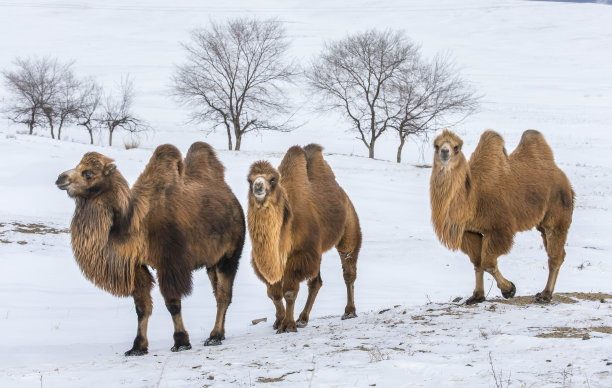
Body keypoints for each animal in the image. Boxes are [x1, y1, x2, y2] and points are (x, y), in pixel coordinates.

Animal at [56, 142, 245, 354]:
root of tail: (233, 200)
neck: (135, 223)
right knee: (218, 293)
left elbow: (173, 304)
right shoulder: (137, 265)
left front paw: (181, 342)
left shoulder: (169, 262)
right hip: (212, 261)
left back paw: (214, 336)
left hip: (230, 254)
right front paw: (137, 347)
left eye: (88, 173)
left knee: (223, 295)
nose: (61, 178)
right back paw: (219, 334)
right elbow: (142, 308)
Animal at [246, 144, 360, 332]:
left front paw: (287, 325)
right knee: (316, 283)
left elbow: (289, 292)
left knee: (348, 271)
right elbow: (273, 293)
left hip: (349, 228)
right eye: (249, 180)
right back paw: (303, 319)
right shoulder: (267, 261)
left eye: (272, 179)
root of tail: (343, 195)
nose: (258, 186)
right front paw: (279, 321)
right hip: (318, 250)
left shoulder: (300, 253)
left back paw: (349, 312)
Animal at [430, 130, 572, 306]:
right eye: (436, 145)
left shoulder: (498, 229)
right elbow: (478, 262)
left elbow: (488, 263)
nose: (444, 152)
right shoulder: (469, 231)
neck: (472, 197)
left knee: (555, 256)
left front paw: (509, 290)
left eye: (457, 147)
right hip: (542, 223)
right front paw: (477, 296)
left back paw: (545, 295)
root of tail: (563, 177)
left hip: (557, 214)